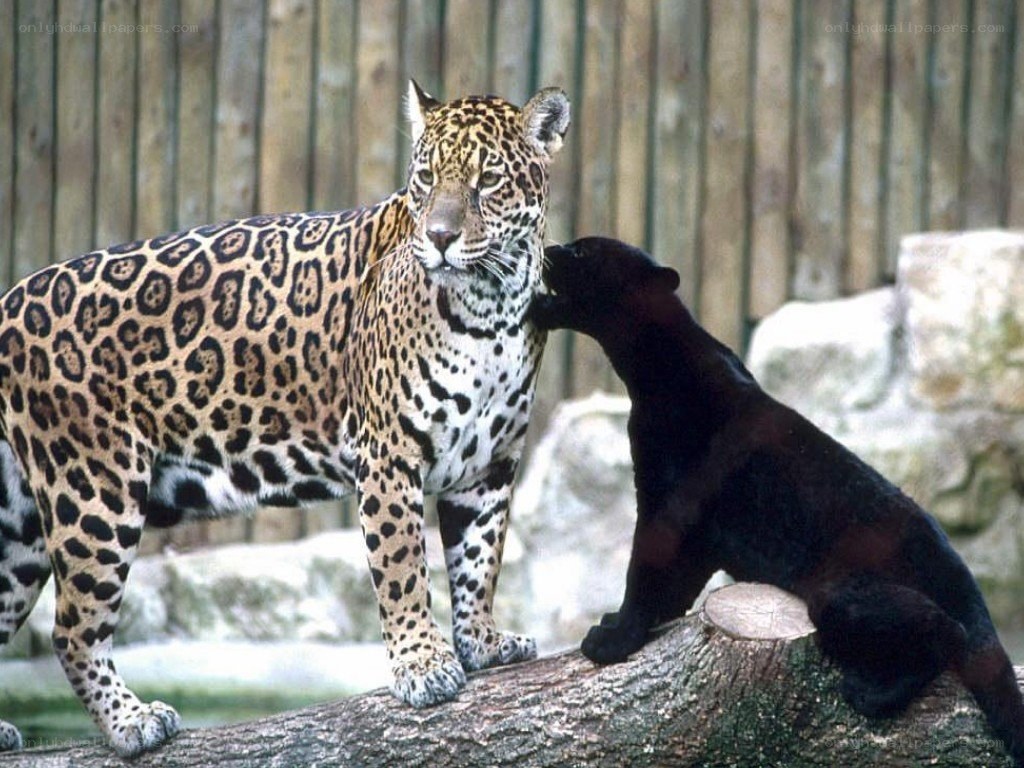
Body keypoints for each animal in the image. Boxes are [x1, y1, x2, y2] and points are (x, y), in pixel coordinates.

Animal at [0, 80, 570, 757]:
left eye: (488, 181)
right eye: (427, 178)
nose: (439, 237)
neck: (491, 308)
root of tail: (8, 302)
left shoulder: (489, 466)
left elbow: (480, 560)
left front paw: (483, 641)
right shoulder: (388, 455)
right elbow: (403, 566)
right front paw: (423, 664)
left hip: (20, 525)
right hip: (93, 489)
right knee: (72, 629)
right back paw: (132, 722)